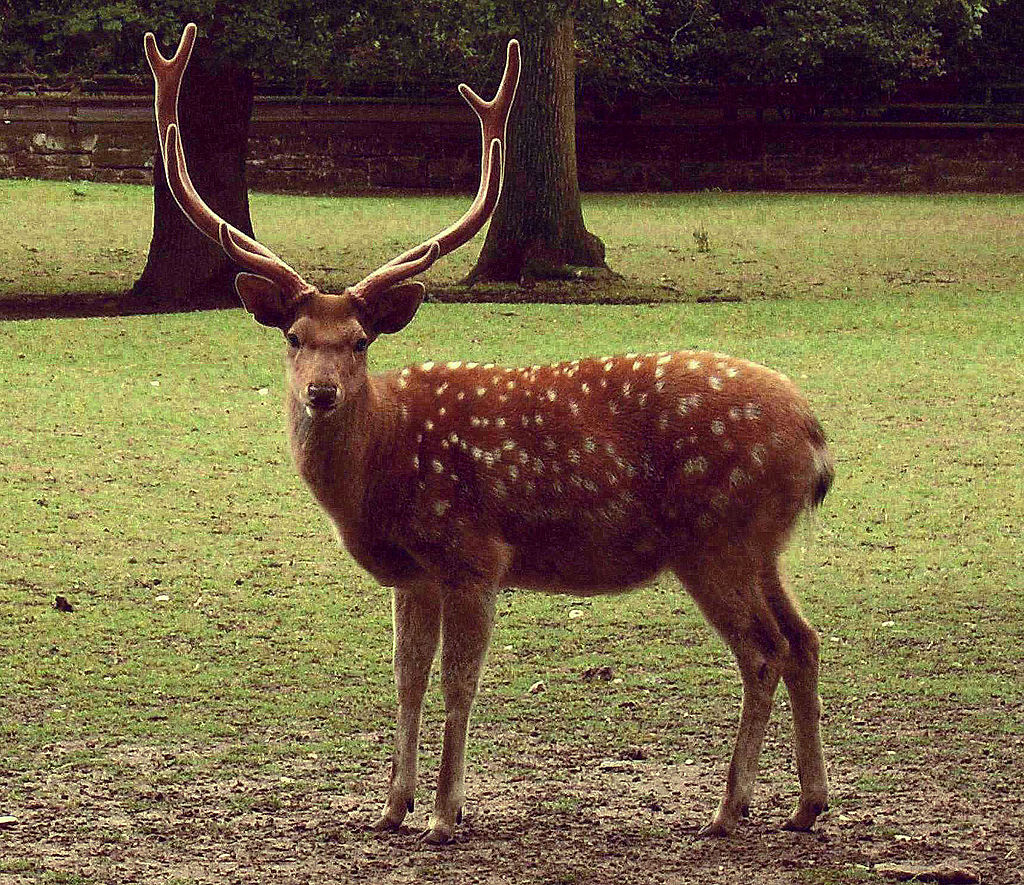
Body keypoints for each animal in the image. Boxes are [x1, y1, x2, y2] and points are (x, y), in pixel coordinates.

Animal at [144, 25, 831, 844]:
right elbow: (405, 681)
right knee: (805, 639)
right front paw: (392, 806)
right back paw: (807, 804)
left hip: (715, 537)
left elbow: (457, 685)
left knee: (763, 652)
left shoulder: (475, 554)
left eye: (361, 341)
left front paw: (446, 814)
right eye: (294, 336)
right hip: (762, 544)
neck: (382, 469)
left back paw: (729, 808)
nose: (321, 392)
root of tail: (816, 438)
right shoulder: (413, 574)